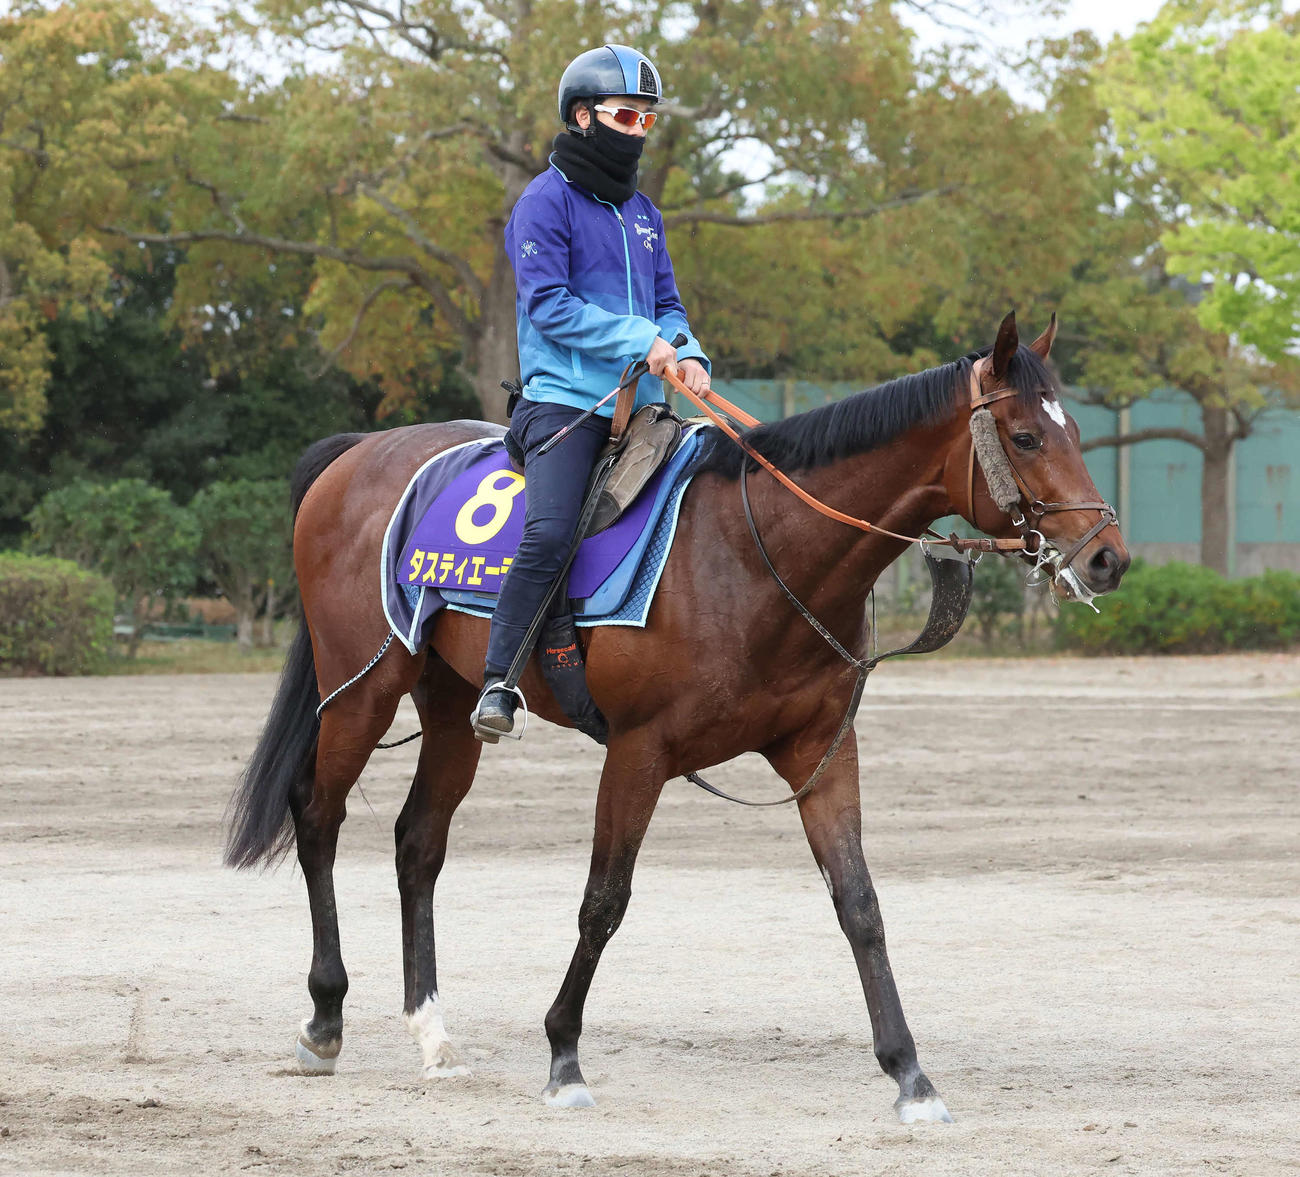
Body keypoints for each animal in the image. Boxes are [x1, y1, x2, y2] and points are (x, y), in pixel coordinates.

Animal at [224, 311, 1129, 1123]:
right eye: (1024, 436)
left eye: (1075, 430)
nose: (1107, 558)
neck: (755, 549)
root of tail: (356, 452)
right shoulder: (639, 751)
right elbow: (604, 899)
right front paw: (563, 1055)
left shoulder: (822, 753)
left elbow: (859, 902)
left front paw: (910, 1073)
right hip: (361, 687)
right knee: (317, 814)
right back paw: (325, 1017)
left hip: (450, 707)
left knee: (418, 843)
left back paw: (432, 1033)